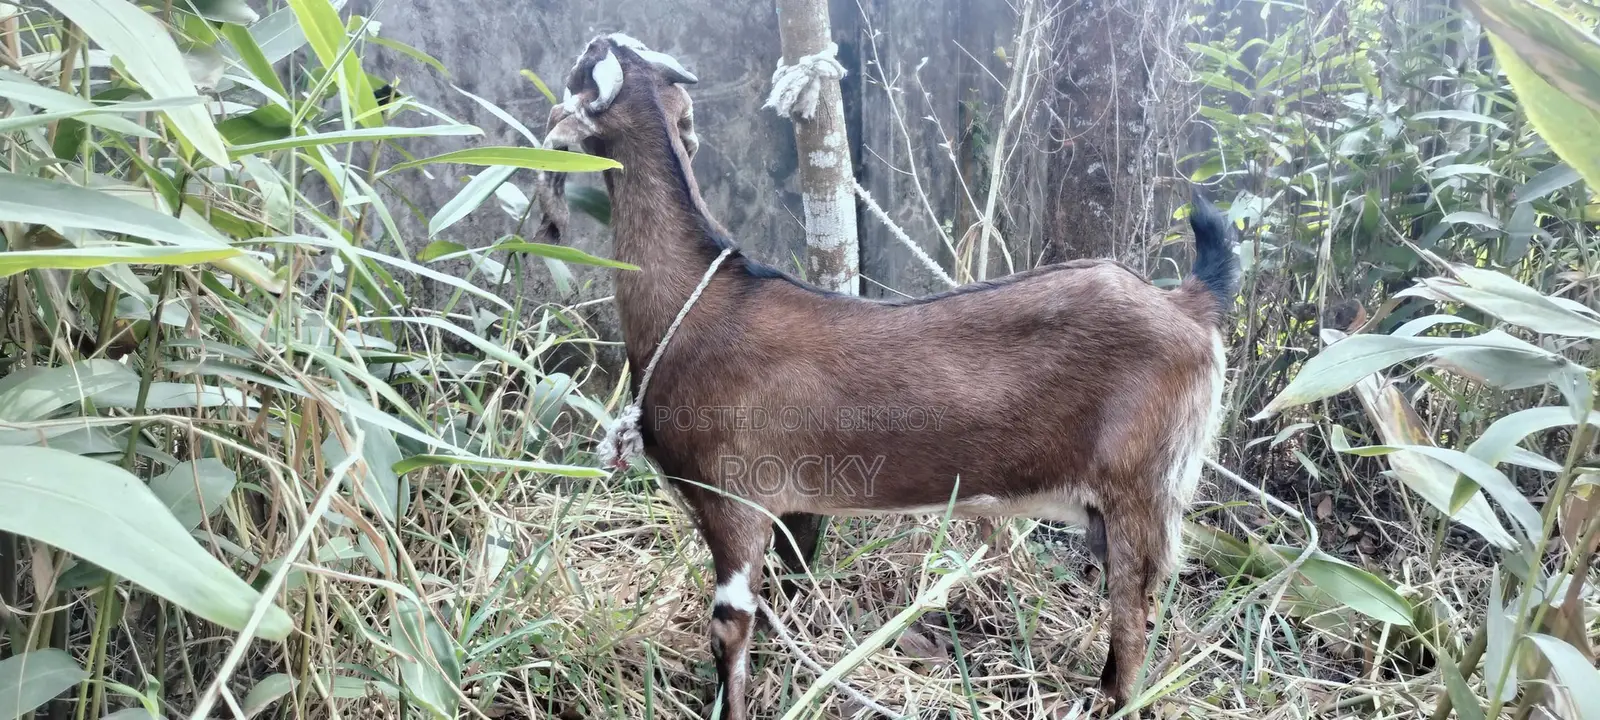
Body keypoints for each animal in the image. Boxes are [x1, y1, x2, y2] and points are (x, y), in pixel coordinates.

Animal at [541, 34, 1238, 719]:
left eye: (576, 77)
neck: (698, 299)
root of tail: (1187, 304)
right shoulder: (792, 501)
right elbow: (788, 586)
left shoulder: (731, 495)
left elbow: (729, 629)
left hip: (1140, 490)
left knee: (1132, 628)